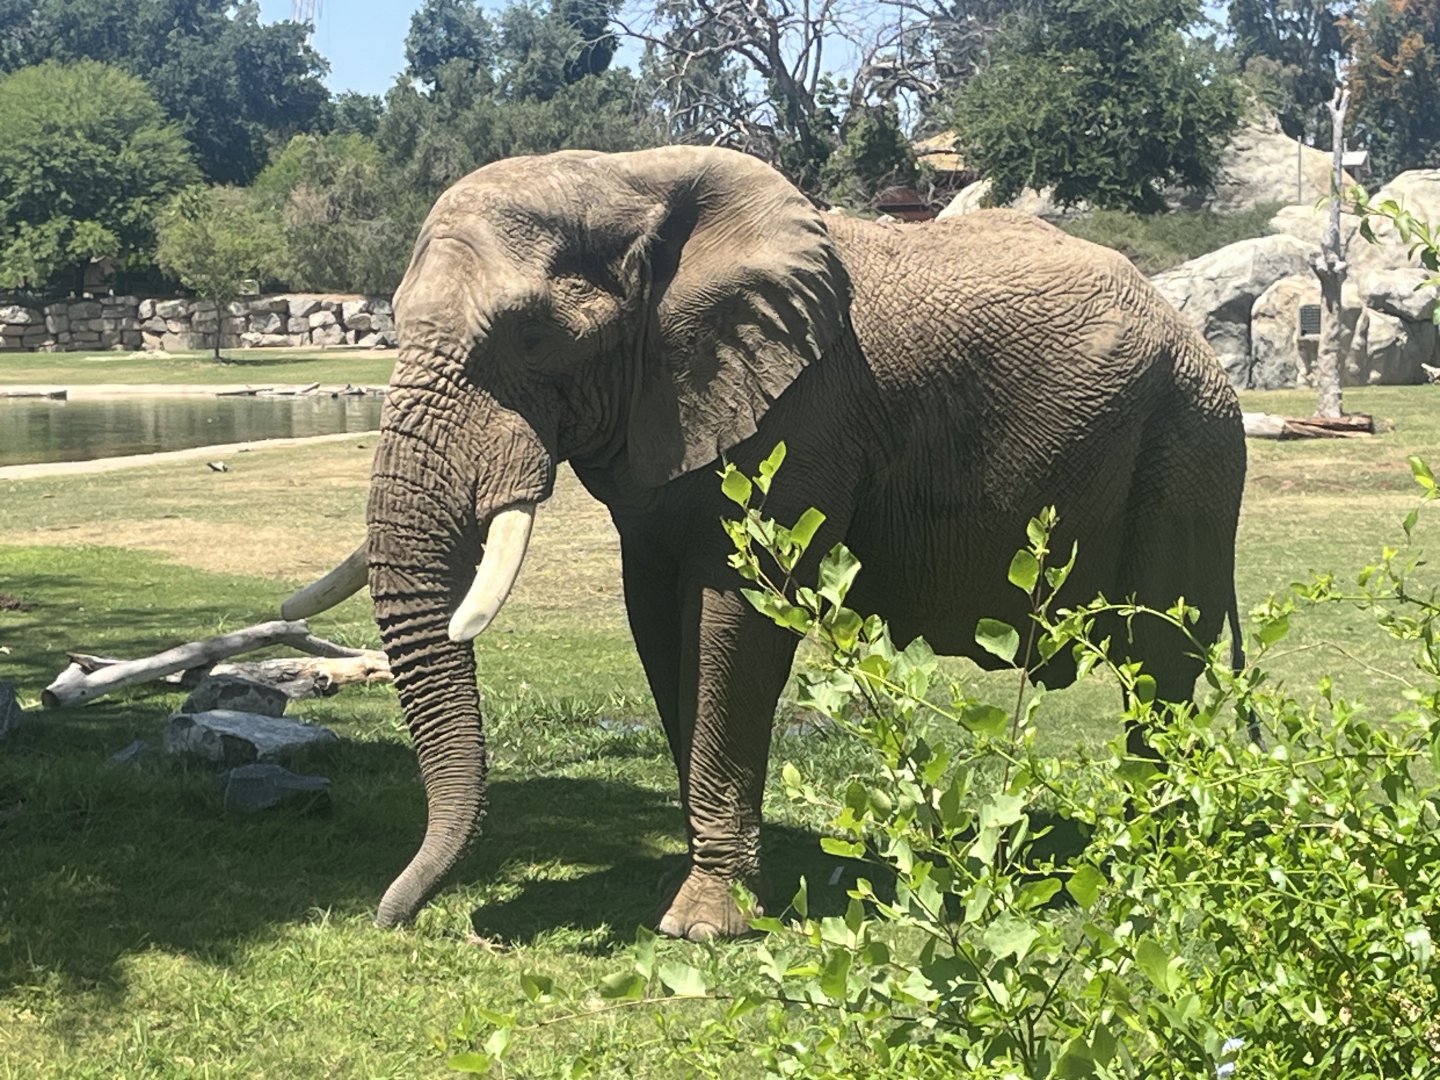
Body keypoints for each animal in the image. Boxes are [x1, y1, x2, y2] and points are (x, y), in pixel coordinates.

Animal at [283, 145, 1247, 940]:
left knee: (1158, 662)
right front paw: (696, 888)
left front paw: (705, 924)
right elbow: (657, 622)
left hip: (1190, 450)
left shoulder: (803, 414)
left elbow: (732, 622)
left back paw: (1142, 861)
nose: (393, 917)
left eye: (530, 334)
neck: (630, 178)